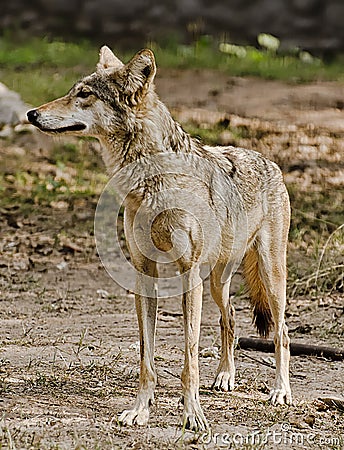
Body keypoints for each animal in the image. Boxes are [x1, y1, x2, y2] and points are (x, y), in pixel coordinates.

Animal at [26, 46, 292, 432]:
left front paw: (193, 415)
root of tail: (267, 160)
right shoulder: (144, 273)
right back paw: (225, 376)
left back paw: (281, 391)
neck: (150, 181)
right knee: (229, 318)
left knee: (281, 332)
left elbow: (189, 358)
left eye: (84, 94)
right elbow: (146, 357)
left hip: (269, 278)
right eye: (73, 91)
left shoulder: (188, 277)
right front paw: (140, 410)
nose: (31, 113)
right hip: (217, 281)